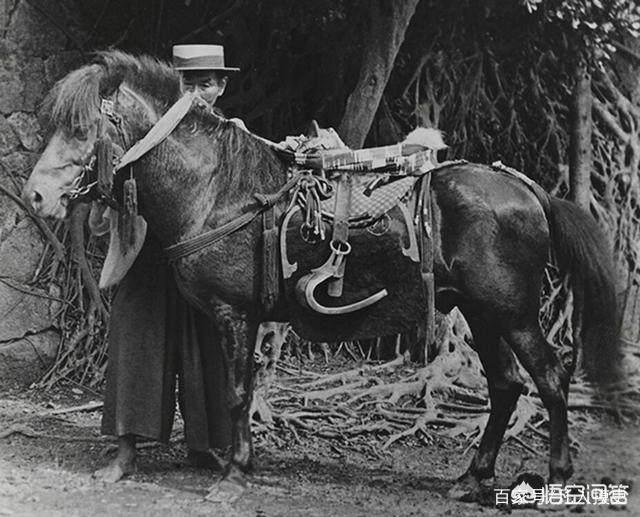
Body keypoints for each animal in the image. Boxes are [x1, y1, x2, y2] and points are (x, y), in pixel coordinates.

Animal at [23, 52, 620, 500]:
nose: (35, 197)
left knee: (551, 379)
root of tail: (525, 188)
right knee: (505, 386)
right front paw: (234, 464)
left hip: (512, 312)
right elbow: (237, 390)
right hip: (482, 312)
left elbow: (237, 392)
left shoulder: (234, 313)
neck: (216, 191)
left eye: (81, 128)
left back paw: (557, 478)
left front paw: (233, 477)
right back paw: (471, 480)